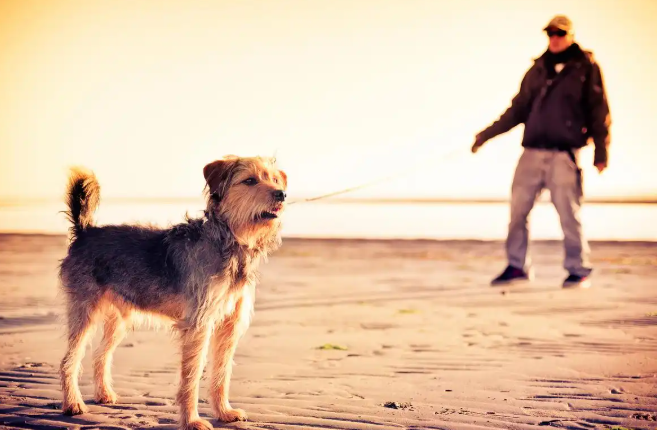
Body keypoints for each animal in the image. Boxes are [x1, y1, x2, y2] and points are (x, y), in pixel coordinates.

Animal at [58, 155, 288, 430]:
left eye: (274, 179)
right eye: (250, 181)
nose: (282, 194)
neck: (228, 241)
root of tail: (85, 231)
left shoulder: (229, 325)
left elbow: (222, 373)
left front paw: (224, 412)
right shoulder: (198, 324)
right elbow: (192, 376)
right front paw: (192, 421)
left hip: (120, 319)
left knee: (100, 355)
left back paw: (103, 395)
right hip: (85, 312)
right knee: (69, 360)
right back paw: (73, 403)